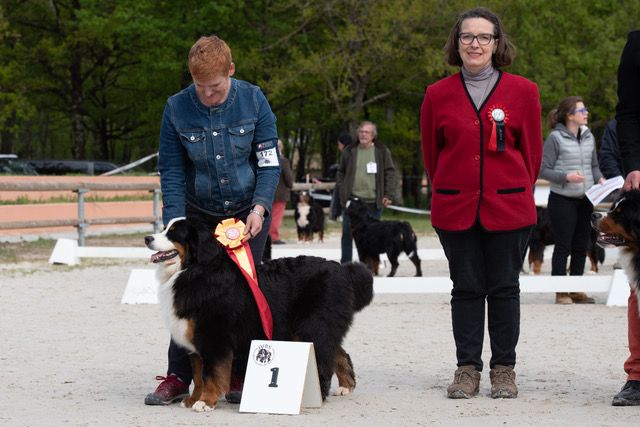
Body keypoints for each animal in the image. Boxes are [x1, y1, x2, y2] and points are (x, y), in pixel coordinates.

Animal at [142, 219, 372, 412]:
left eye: (173, 233)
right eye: (164, 228)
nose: (147, 238)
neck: (193, 271)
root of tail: (341, 269)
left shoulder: (214, 339)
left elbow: (210, 375)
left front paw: (206, 402)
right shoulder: (196, 340)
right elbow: (198, 375)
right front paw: (193, 399)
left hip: (314, 327)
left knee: (323, 362)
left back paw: (319, 395)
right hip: (312, 329)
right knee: (339, 353)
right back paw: (346, 386)